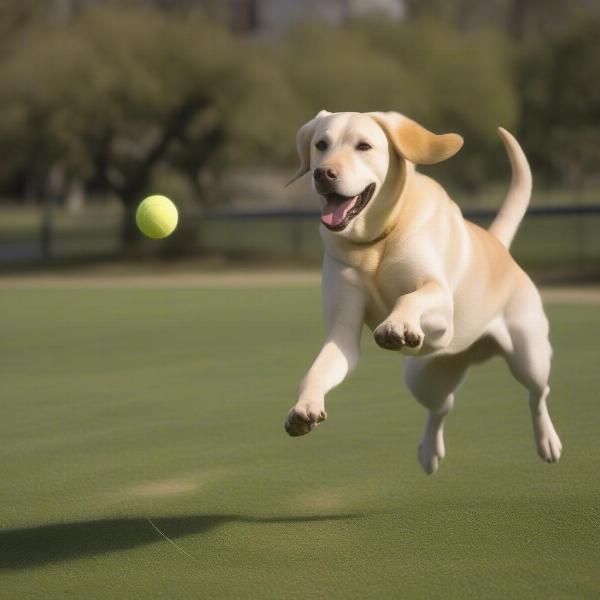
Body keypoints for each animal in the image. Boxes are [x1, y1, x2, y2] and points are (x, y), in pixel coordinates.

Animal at [284, 110, 560, 472]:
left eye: (364, 146)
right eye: (321, 145)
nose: (323, 173)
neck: (376, 241)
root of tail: (499, 244)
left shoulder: (442, 308)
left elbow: (411, 296)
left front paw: (396, 325)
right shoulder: (342, 333)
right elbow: (316, 371)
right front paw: (304, 407)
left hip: (529, 355)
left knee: (537, 394)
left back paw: (547, 442)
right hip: (423, 375)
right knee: (442, 406)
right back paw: (429, 452)